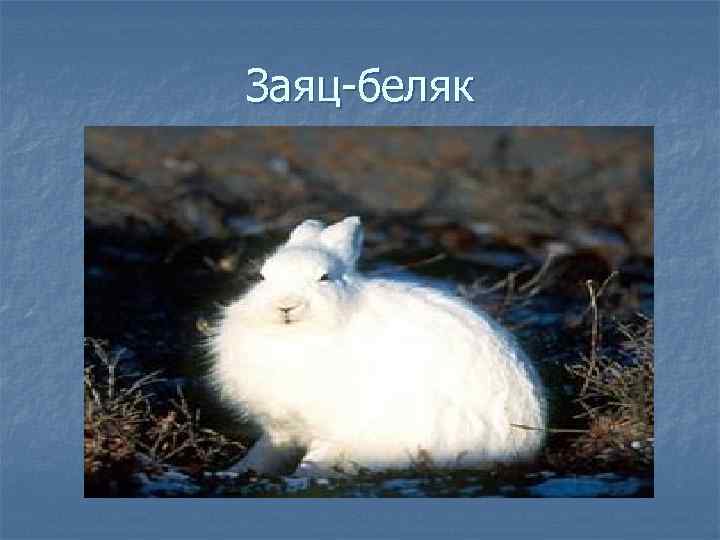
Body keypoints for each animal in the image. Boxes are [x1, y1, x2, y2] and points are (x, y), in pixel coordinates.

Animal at [211, 216, 547, 477]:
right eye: (262, 277)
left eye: (324, 278)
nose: (285, 305)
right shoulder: (280, 427)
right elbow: (266, 449)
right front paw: (235, 471)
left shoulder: (336, 423)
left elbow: (322, 449)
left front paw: (304, 473)